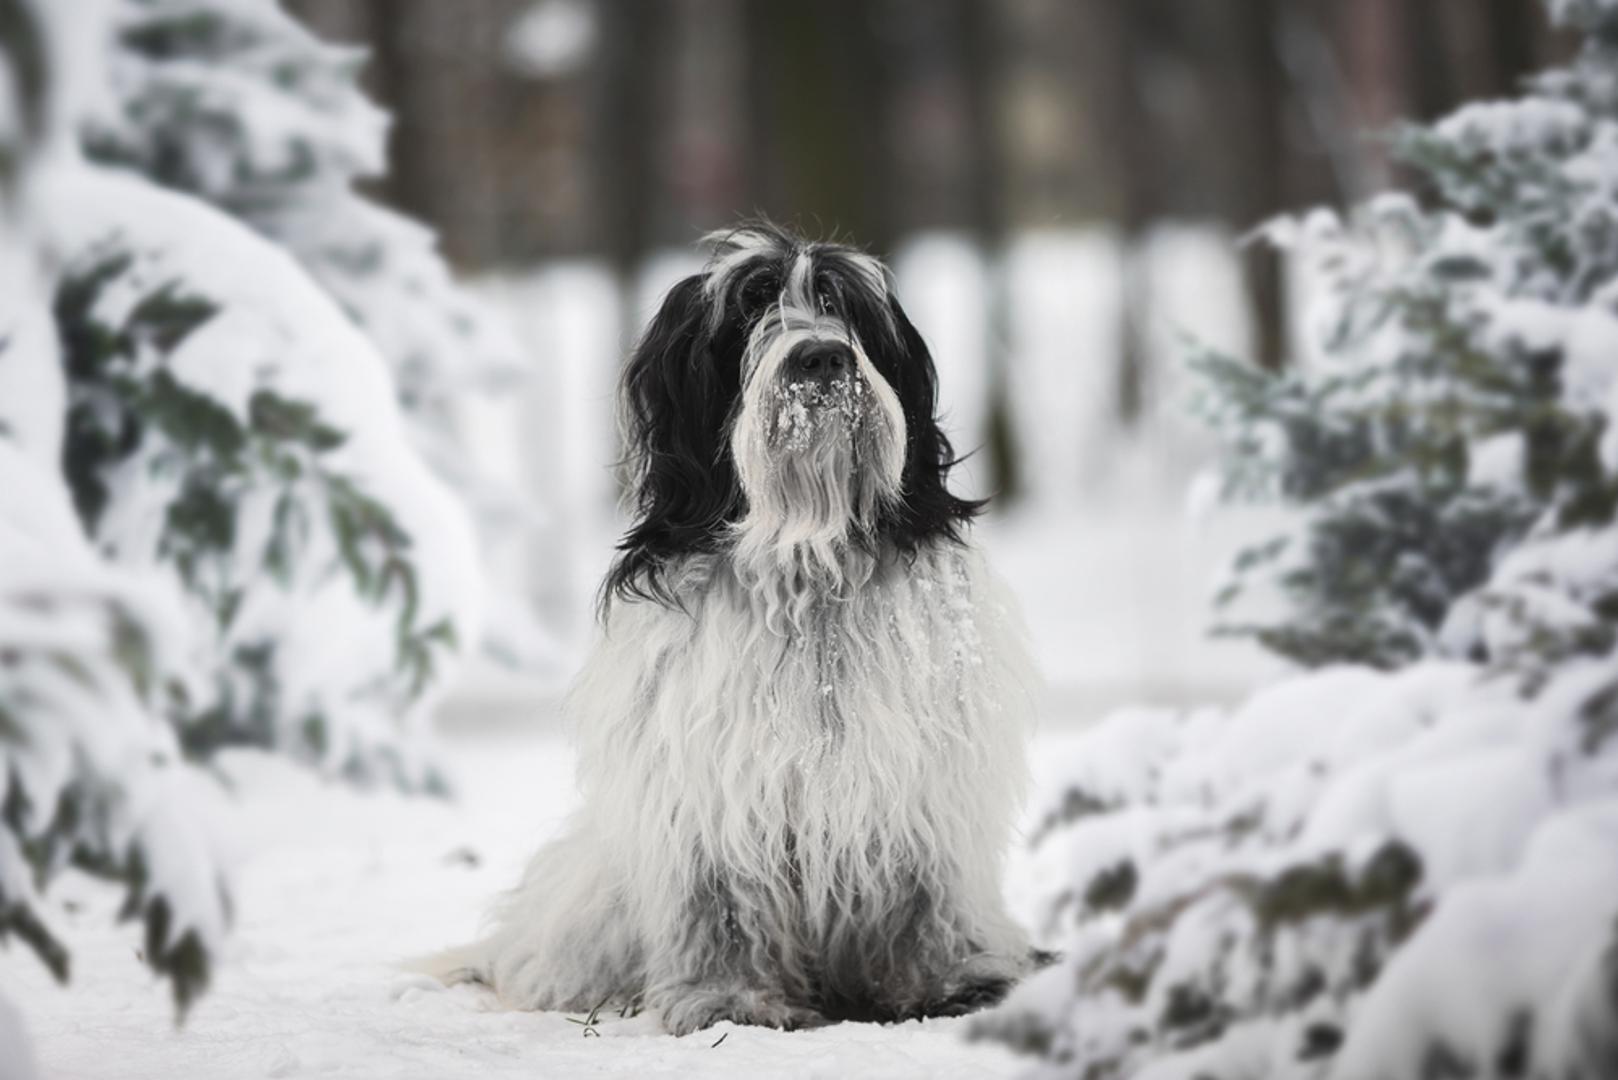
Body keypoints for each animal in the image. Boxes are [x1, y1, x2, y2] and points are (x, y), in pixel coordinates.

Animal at [430, 221, 1035, 1036]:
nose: (821, 356)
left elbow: (923, 895)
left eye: (843, 306)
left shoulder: (916, 779)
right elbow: (723, 905)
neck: (807, 562)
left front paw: (949, 980)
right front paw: (729, 1001)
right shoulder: (712, 789)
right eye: (750, 310)